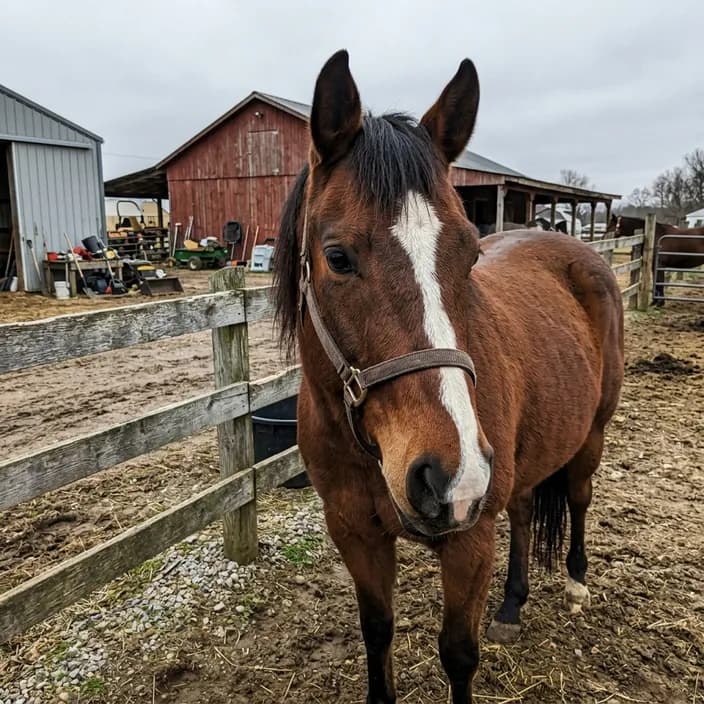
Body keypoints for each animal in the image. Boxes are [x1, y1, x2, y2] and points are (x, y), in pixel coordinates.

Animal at [273, 50, 624, 704]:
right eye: (337, 257)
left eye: (469, 254)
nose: (451, 477)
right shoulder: (354, 534)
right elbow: (377, 630)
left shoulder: (469, 538)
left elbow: (459, 654)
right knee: (523, 509)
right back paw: (512, 606)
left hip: (590, 434)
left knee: (579, 496)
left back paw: (575, 583)